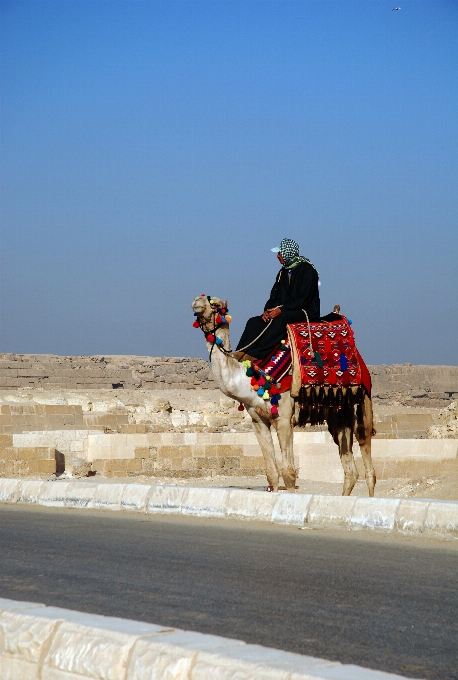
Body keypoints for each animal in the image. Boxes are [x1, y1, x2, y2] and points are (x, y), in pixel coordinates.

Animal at [192, 294, 376, 496]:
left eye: (215, 304)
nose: (197, 301)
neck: (253, 379)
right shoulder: (258, 420)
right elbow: (271, 473)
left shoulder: (284, 419)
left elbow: (288, 472)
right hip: (338, 417)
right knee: (350, 470)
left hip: (362, 403)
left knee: (368, 464)